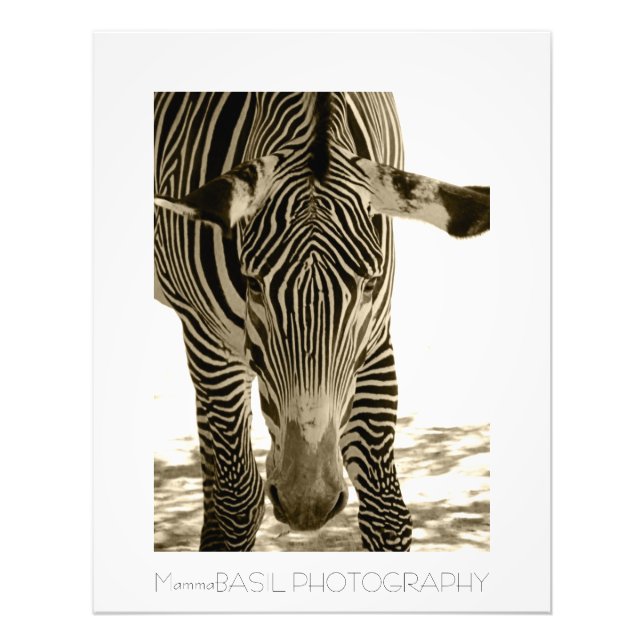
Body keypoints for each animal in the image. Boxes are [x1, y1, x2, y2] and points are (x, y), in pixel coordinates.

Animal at [154, 92, 489, 551]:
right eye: (253, 283)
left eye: (369, 284)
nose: (306, 502)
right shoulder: (208, 340)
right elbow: (239, 504)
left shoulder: (374, 340)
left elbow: (388, 514)